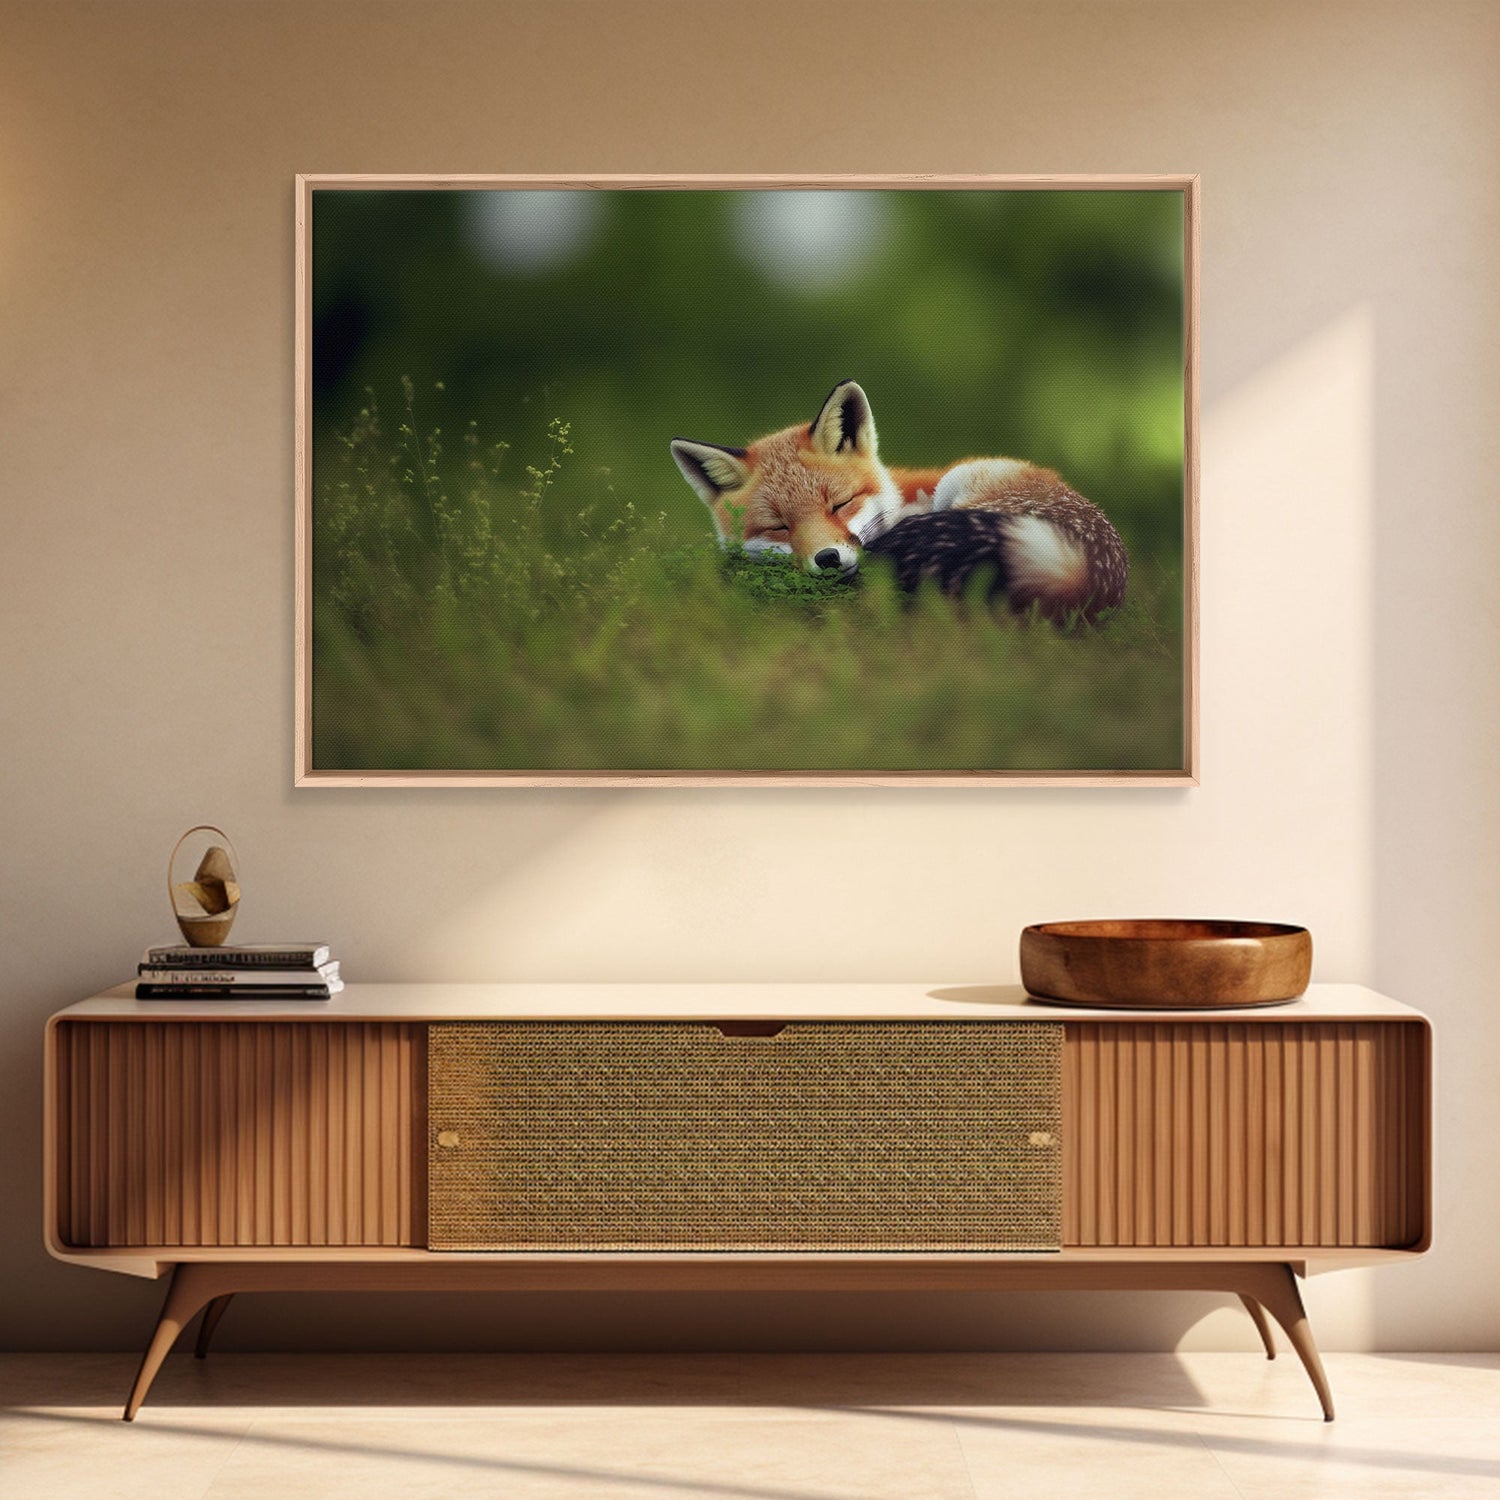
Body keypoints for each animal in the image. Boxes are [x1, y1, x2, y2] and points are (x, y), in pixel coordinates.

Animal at [670, 380, 1128, 621]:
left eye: (840, 504)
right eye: (779, 526)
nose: (828, 559)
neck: (899, 500)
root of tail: (1084, 570)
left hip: (966, 477)